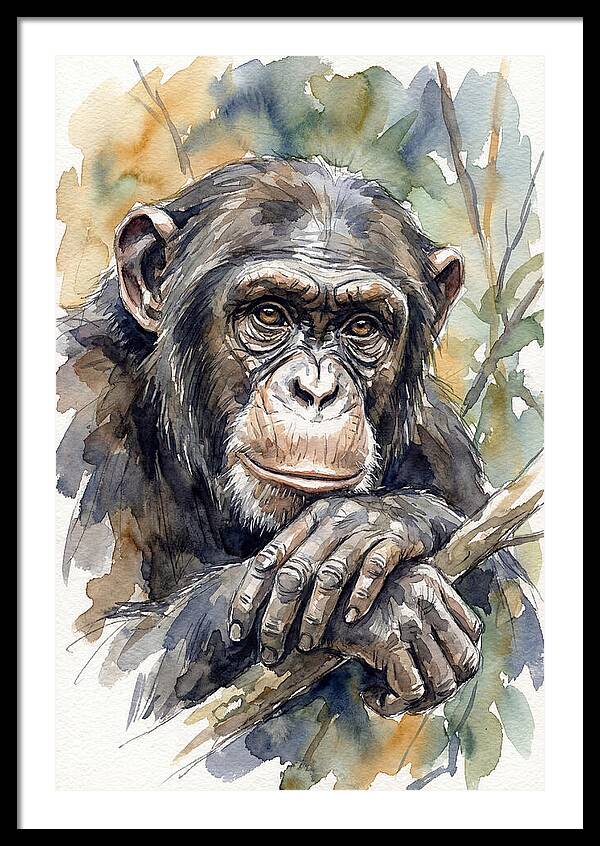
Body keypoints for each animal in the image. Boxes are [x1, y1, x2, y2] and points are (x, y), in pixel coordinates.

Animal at [57, 156, 530, 725]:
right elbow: (100, 660)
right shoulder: (82, 405)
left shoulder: (440, 439)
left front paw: (375, 523)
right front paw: (396, 604)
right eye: (269, 314)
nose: (317, 390)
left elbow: (519, 617)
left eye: (362, 326)